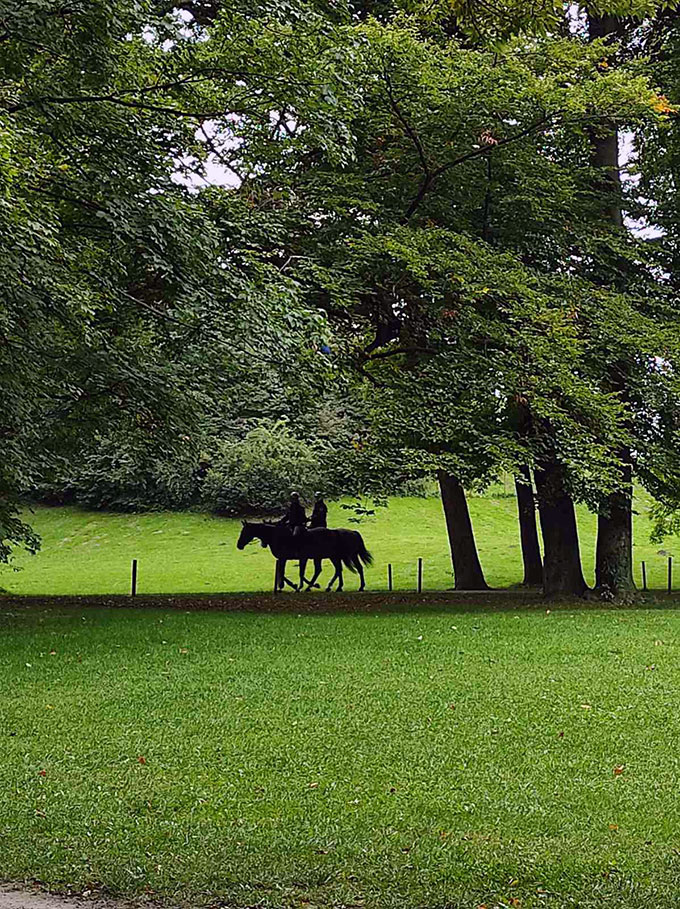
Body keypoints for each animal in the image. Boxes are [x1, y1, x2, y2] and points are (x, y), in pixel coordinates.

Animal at [236, 520, 374, 592]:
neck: (279, 537)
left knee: (355, 569)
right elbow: (283, 573)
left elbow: (296, 573)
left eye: (244, 531)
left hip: (346, 556)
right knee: (336, 570)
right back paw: (334, 587)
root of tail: (353, 532)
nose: (239, 545)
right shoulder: (285, 559)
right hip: (333, 557)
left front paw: (296, 586)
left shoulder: (295, 558)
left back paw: (359, 586)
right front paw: (286, 586)